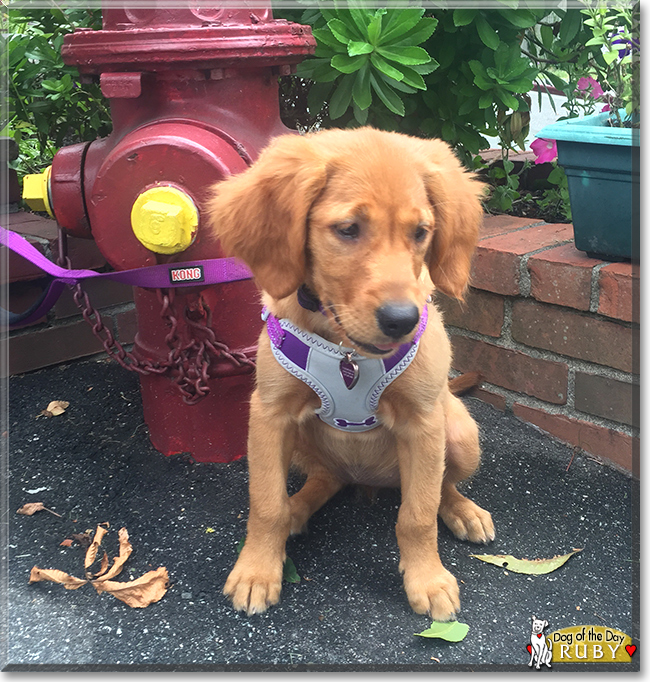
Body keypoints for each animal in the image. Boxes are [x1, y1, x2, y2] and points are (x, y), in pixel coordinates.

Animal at [208, 125, 492, 620]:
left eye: (421, 233)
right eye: (347, 229)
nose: (402, 320)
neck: (347, 352)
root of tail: (369, 481)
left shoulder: (423, 423)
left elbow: (417, 514)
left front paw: (428, 579)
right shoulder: (269, 415)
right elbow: (265, 503)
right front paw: (257, 570)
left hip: (458, 432)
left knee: (441, 485)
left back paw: (462, 510)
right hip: (304, 442)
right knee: (326, 479)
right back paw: (297, 510)